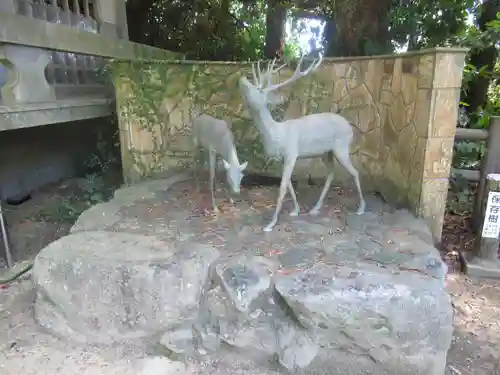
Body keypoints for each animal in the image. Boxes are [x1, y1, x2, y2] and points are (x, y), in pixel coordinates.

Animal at [238, 55, 364, 232]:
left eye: (259, 90)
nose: (242, 78)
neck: (277, 135)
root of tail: (350, 127)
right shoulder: (282, 158)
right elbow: (289, 184)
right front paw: (295, 210)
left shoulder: (292, 153)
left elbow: (283, 186)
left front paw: (271, 224)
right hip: (326, 152)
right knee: (331, 173)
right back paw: (315, 208)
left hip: (342, 147)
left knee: (355, 172)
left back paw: (361, 208)